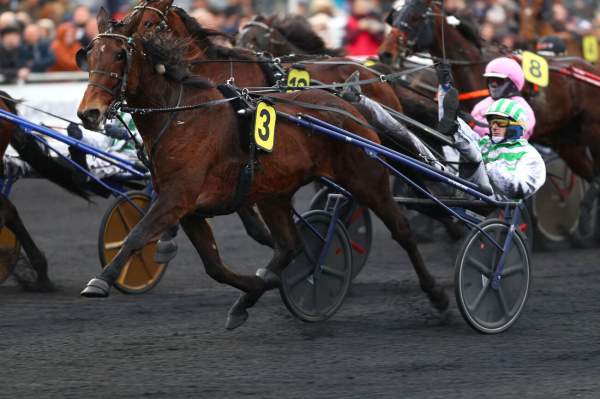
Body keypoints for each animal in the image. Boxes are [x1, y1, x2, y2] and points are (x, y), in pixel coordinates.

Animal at [76, 13, 450, 332]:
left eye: (119, 56)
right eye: (90, 55)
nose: (88, 113)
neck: (182, 114)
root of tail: (349, 104)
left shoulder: (176, 198)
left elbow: (137, 234)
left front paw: (101, 280)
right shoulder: (190, 209)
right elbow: (214, 266)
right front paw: (256, 287)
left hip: (366, 178)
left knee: (401, 229)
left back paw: (439, 292)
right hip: (275, 194)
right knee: (290, 245)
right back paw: (256, 293)